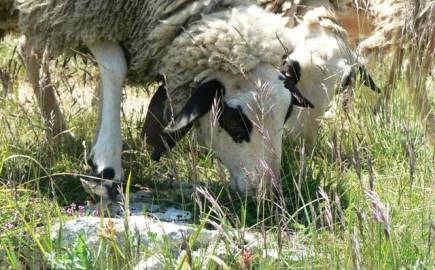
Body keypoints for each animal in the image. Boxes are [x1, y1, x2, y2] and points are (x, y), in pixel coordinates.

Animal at [17, 0, 316, 202]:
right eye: (232, 121)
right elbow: (115, 68)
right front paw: (107, 166)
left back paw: (59, 135)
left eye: (286, 116)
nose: (269, 193)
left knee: (29, 49)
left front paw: (96, 152)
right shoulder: (87, 13)